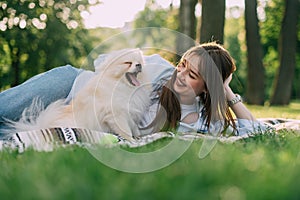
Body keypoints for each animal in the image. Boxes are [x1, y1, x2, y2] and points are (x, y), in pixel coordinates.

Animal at [7, 48, 150, 141]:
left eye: (139, 62)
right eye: (128, 63)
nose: (139, 65)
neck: (121, 85)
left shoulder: (130, 113)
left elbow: (134, 128)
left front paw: (138, 137)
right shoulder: (116, 115)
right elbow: (126, 131)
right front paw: (132, 141)